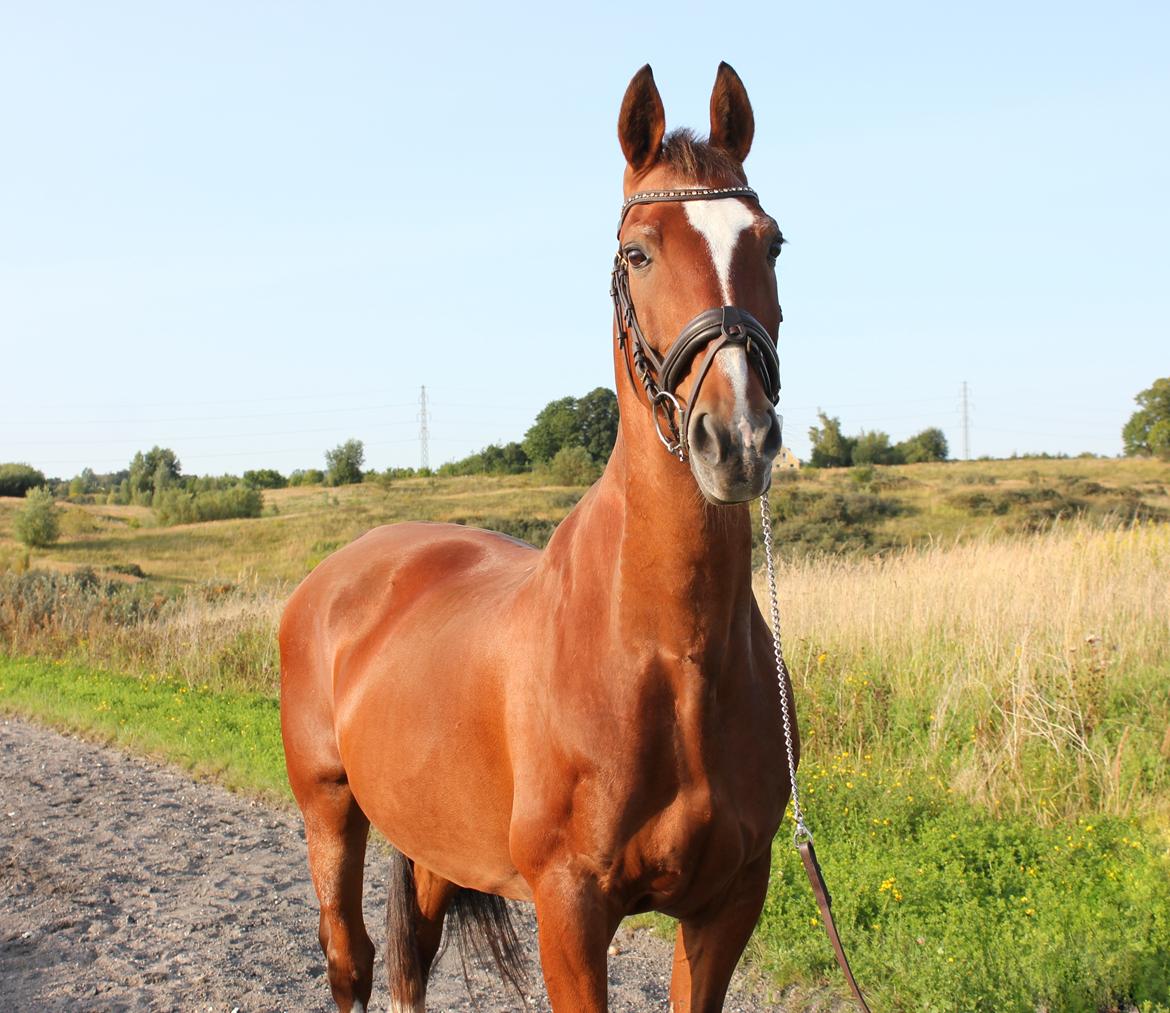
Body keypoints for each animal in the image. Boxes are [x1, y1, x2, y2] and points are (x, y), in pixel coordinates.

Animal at [283, 63, 795, 1010]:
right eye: (638, 252)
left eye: (771, 243)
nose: (737, 439)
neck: (669, 653)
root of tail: (334, 579)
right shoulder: (570, 906)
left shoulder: (729, 902)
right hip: (329, 809)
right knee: (351, 958)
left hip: (433, 841)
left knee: (411, 961)